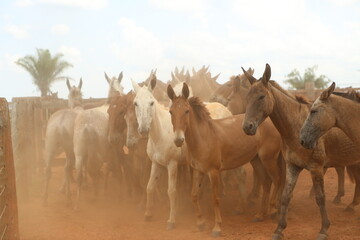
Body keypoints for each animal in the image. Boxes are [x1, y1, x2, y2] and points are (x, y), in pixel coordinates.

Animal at [73, 72, 124, 209]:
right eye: (122, 87)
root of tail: (87, 125)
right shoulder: (115, 148)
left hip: (79, 153)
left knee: (80, 175)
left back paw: (78, 203)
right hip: (99, 153)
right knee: (95, 170)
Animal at [168, 82, 284, 236]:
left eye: (186, 111)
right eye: (171, 112)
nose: (178, 140)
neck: (204, 137)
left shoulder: (213, 172)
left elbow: (215, 198)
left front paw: (217, 227)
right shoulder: (199, 170)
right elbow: (194, 196)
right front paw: (200, 223)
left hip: (269, 159)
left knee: (277, 179)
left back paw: (272, 211)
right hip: (257, 160)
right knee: (266, 183)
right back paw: (260, 215)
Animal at [240, 63, 360, 240]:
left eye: (261, 97)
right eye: (247, 97)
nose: (247, 127)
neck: (296, 127)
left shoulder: (316, 168)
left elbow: (320, 198)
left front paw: (324, 229)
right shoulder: (292, 166)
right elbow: (285, 197)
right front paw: (279, 229)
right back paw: (351, 205)